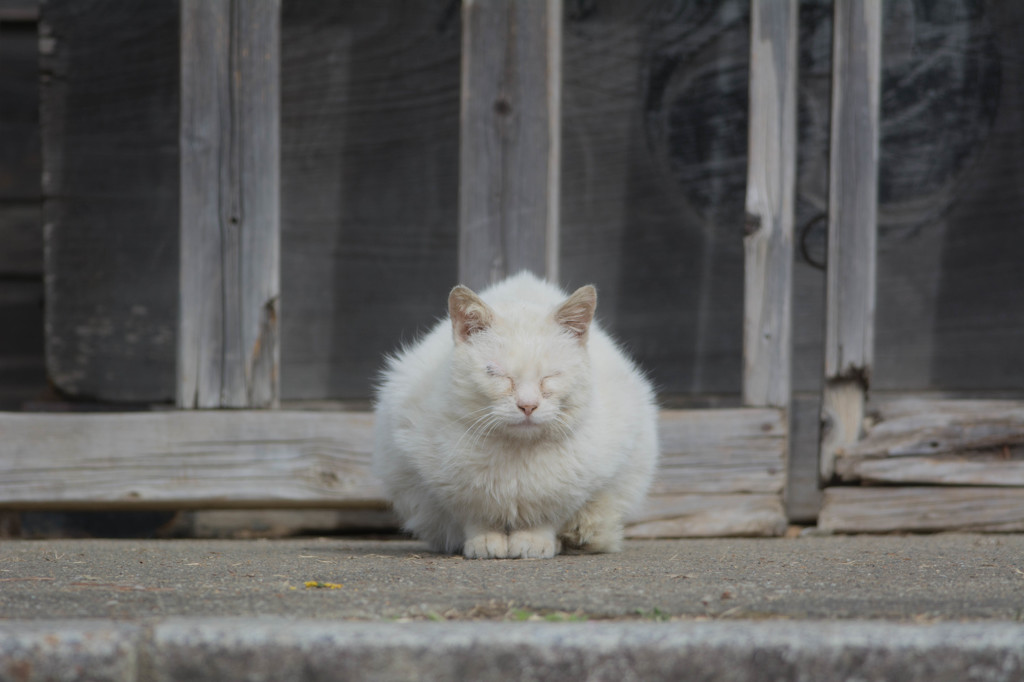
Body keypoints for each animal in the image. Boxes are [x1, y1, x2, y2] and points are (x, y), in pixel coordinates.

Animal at [372, 270, 659, 557]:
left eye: (551, 376)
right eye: (498, 375)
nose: (528, 405)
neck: (517, 454)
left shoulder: (572, 491)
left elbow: (547, 517)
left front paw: (534, 541)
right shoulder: (450, 490)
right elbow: (476, 517)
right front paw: (485, 541)